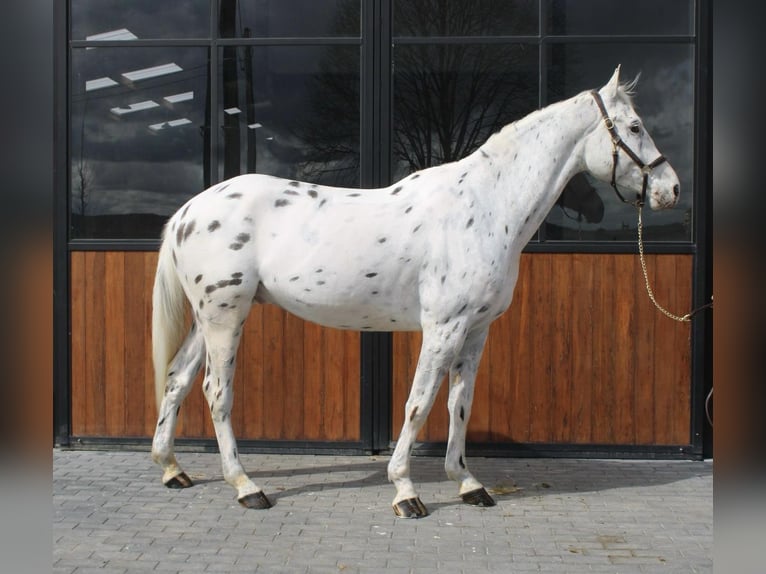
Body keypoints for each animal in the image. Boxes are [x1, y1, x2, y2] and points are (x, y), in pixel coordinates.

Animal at [153, 66, 680, 516]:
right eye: (635, 127)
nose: (671, 189)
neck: (485, 205)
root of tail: (187, 213)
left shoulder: (476, 331)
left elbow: (458, 403)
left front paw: (468, 484)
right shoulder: (444, 328)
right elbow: (419, 402)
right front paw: (406, 491)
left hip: (208, 318)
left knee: (178, 379)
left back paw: (172, 469)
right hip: (225, 316)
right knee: (216, 390)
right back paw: (247, 487)